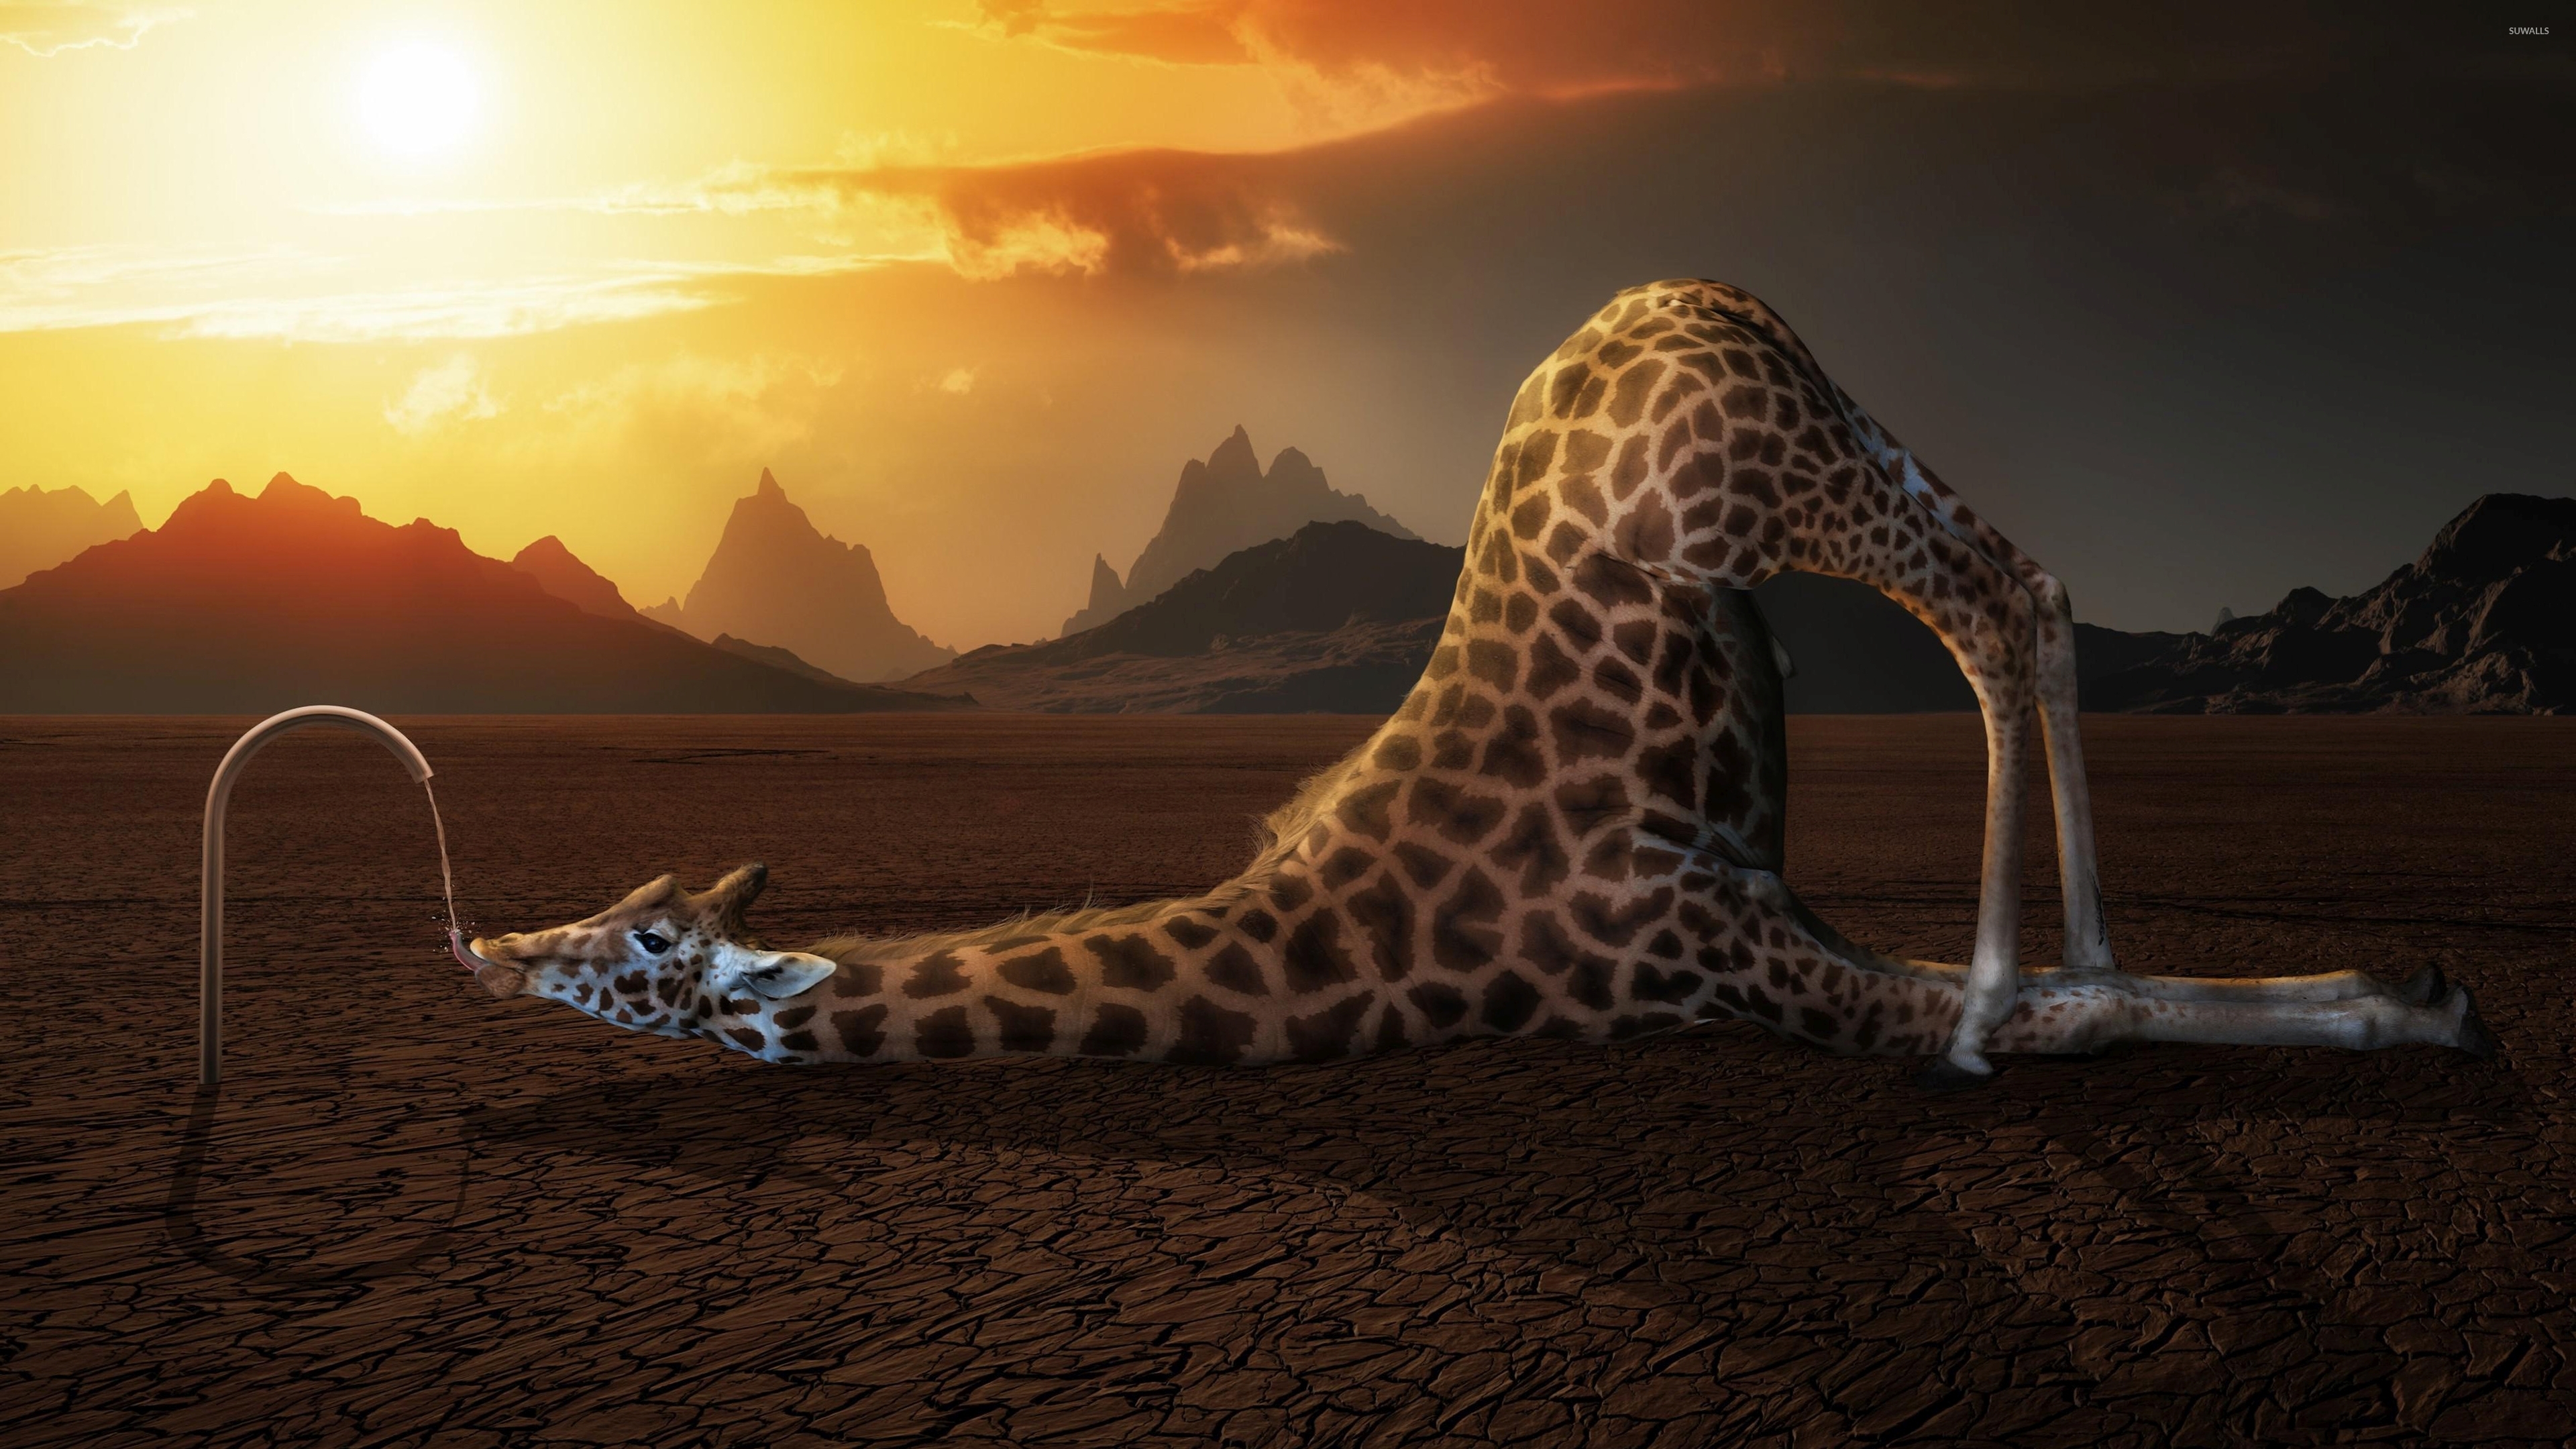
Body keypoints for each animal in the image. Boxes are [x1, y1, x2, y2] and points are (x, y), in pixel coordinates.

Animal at [464, 280, 2498, 1080]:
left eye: (650, 944)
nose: (486, 947)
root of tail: (1693, 299)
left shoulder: (1733, 958)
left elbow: (2085, 1021)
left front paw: (2414, 1012)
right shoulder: (1765, 930)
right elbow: (2159, 993)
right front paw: (2417, 989)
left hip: (1769, 484)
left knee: (1997, 601)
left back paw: (2016, 973)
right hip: (1826, 438)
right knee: (2039, 583)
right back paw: (2051, 949)